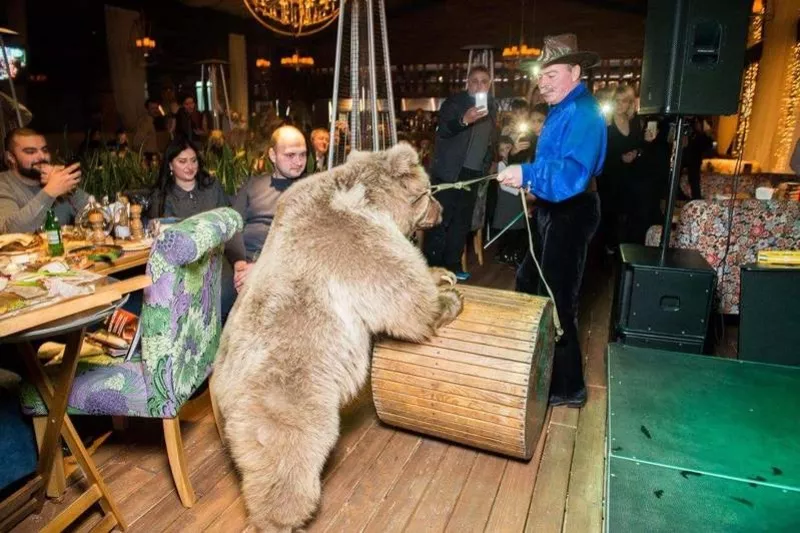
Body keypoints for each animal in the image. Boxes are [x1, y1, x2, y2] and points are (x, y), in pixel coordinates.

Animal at [212, 142, 462, 532]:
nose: (442, 210)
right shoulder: (354, 238)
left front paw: (443, 274)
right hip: (289, 400)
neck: (372, 199)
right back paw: (284, 518)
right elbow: (407, 301)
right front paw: (447, 296)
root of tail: (221, 392)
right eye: (430, 192)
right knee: (288, 458)